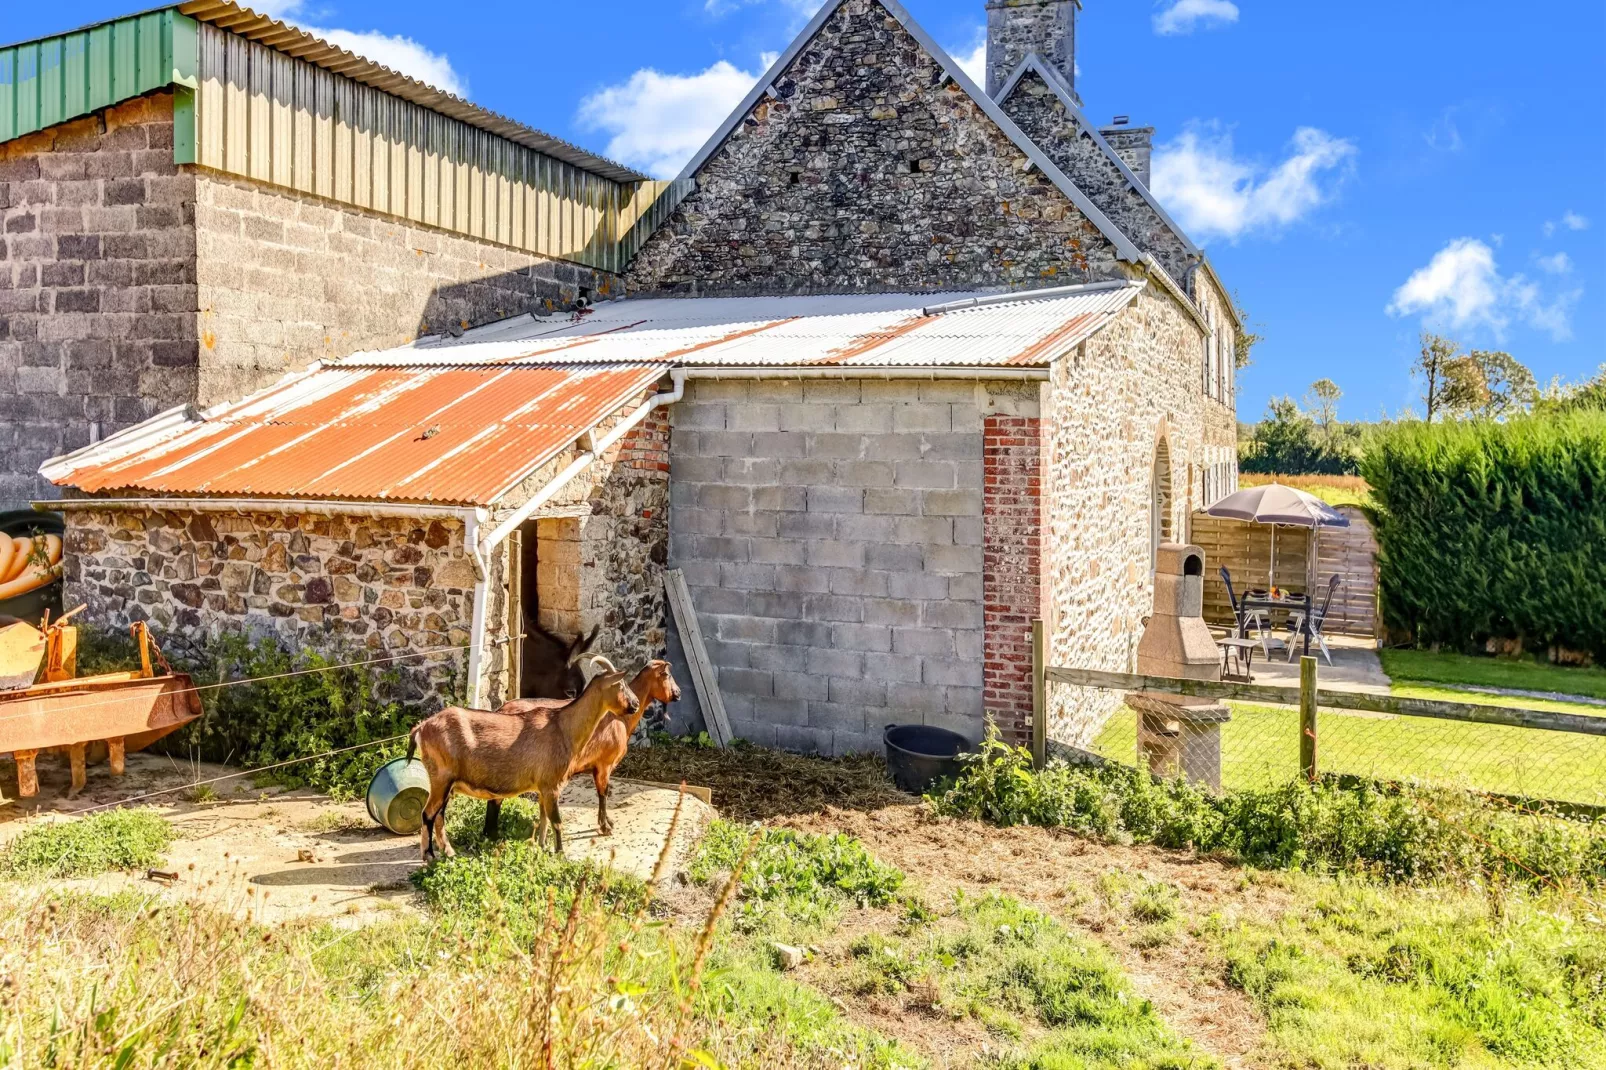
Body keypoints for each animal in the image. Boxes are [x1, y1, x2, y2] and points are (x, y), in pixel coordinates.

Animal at [404, 649, 635, 861]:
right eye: (621, 685)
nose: (634, 705)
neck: (563, 727)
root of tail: (421, 728)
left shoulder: (543, 788)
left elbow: (543, 819)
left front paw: (542, 847)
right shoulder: (551, 785)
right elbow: (556, 822)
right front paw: (561, 854)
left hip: (447, 784)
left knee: (439, 815)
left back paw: (450, 853)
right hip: (441, 778)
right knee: (428, 814)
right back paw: (429, 856)